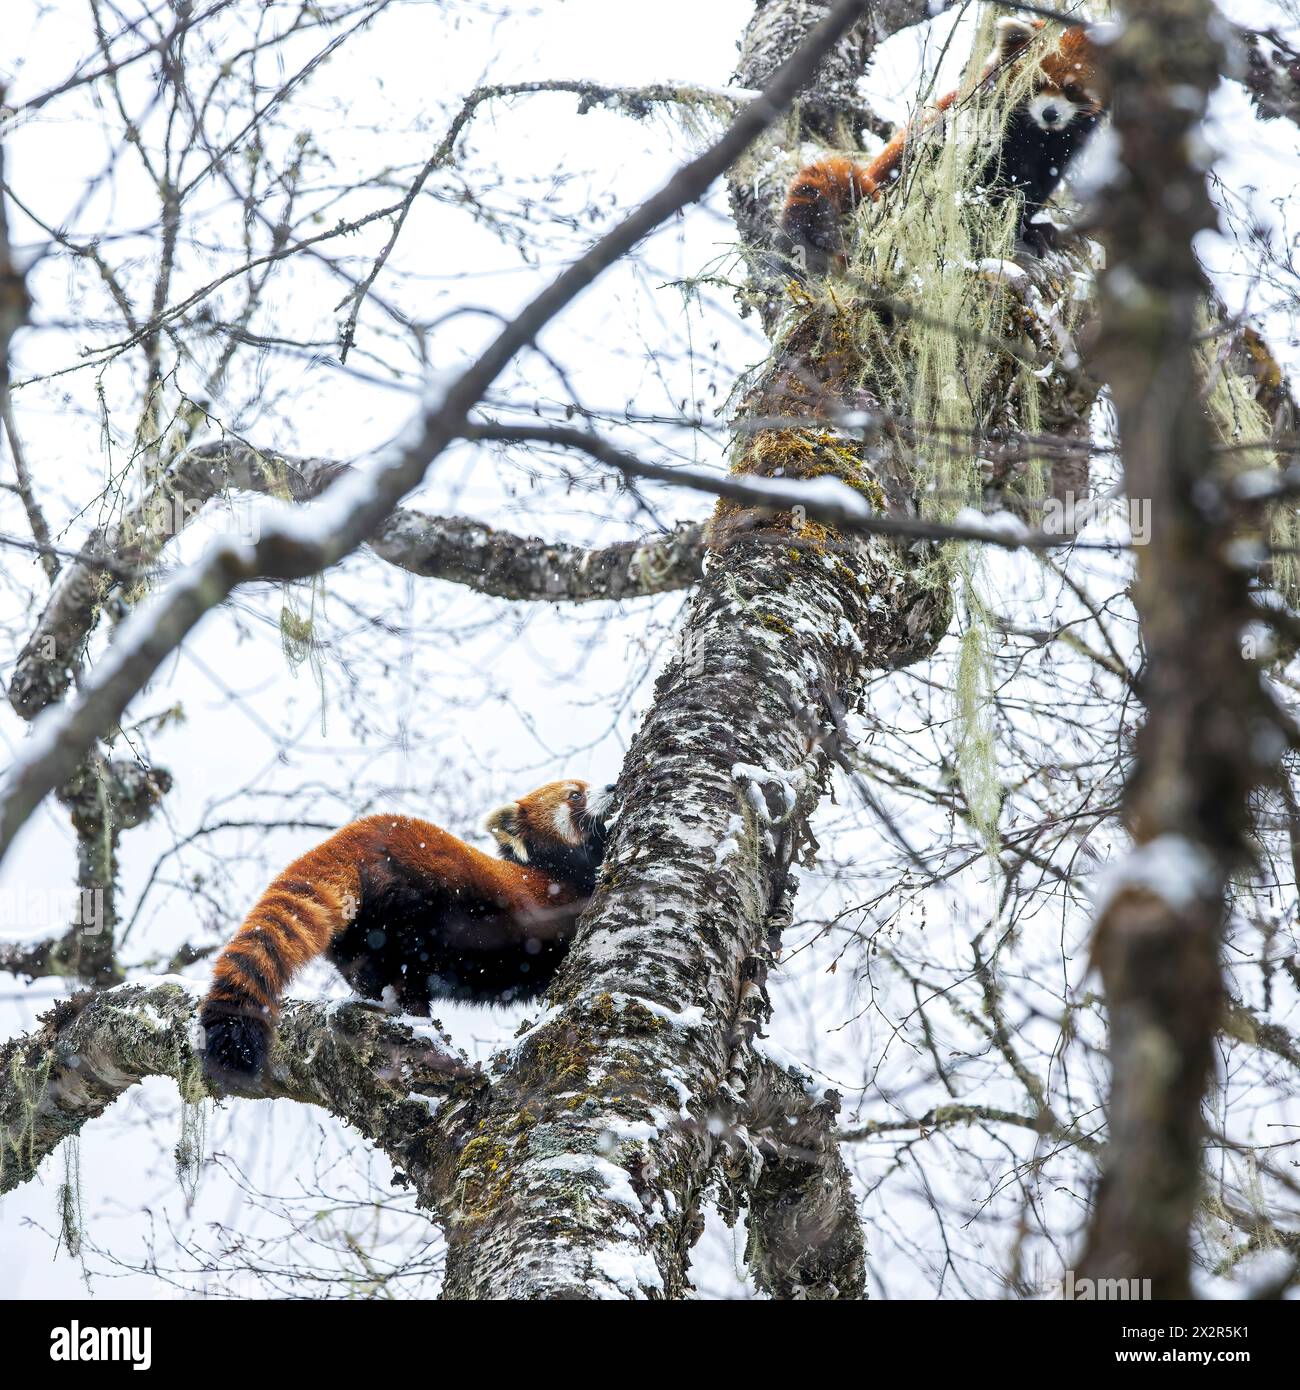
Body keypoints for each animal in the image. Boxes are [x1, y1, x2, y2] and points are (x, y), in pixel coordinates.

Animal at [200, 783, 614, 1084]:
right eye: (575, 793)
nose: (610, 786)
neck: (551, 867)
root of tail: (355, 834)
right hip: (414, 904)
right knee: (407, 963)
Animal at [784, 17, 1106, 273]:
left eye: (1072, 88)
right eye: (1036, 83)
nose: (1050, 114)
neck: (1040, 135)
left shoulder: (1061, 151)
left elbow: (1034, 187)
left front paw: (1032, 227)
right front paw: (1011, 230)